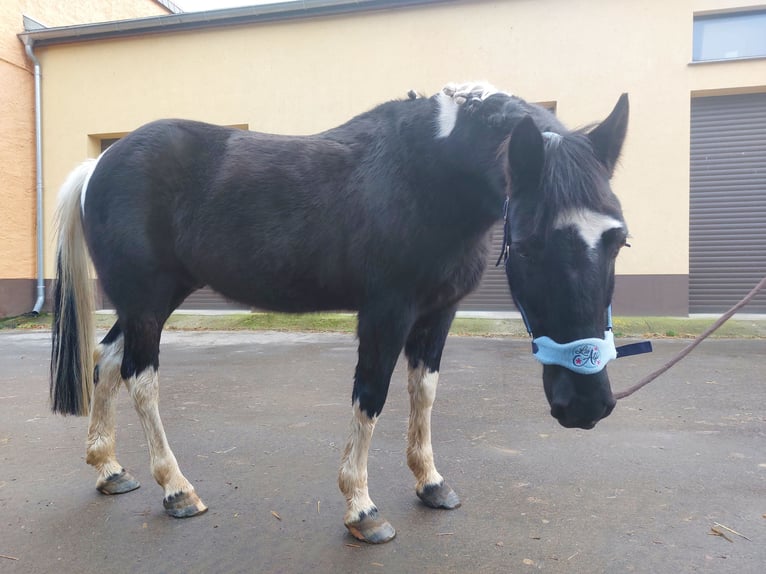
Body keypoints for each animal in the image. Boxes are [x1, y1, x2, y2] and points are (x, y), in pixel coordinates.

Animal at [52, 82, 632, 544]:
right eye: (530, 246)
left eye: (619, 240)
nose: (586, 405)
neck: (429, 175)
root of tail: (99, 164)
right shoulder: (386, 313)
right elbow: (370, 398)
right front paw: (362, 509)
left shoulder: (438, 314)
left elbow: (424, 392)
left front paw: (431, 482)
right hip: (148, 302)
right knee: (140, 378)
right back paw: (176, 490)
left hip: (151, 300)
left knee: (107, 361)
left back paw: (109, 470)